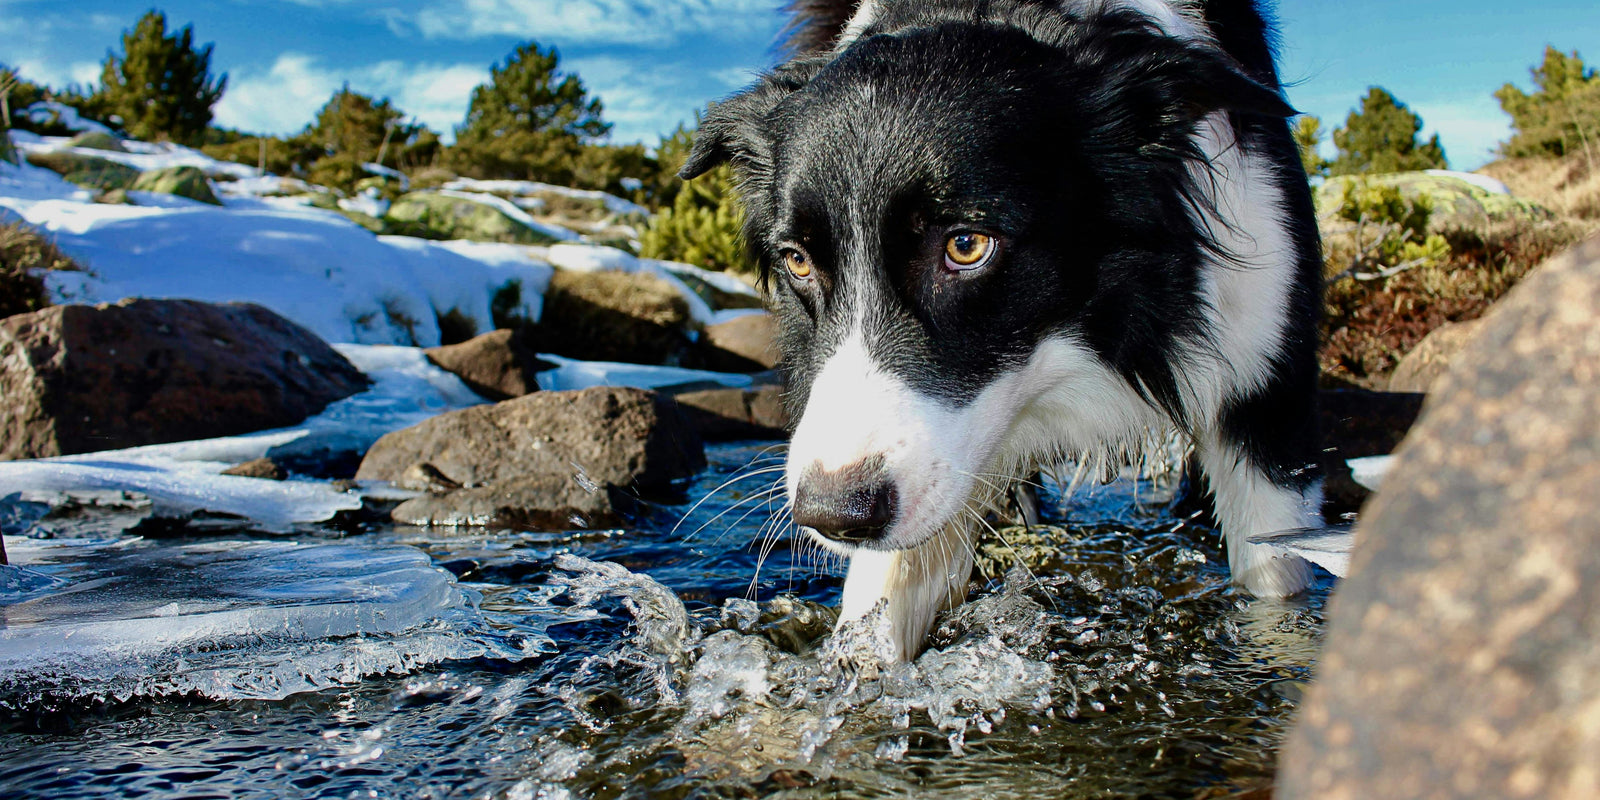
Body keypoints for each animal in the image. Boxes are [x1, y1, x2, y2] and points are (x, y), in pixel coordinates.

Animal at [688, 0, 1324, 659]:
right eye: (797, 261)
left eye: (966, 245)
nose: (833, 515)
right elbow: (877, 611)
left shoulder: (1263, 378)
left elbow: (1276, 579)